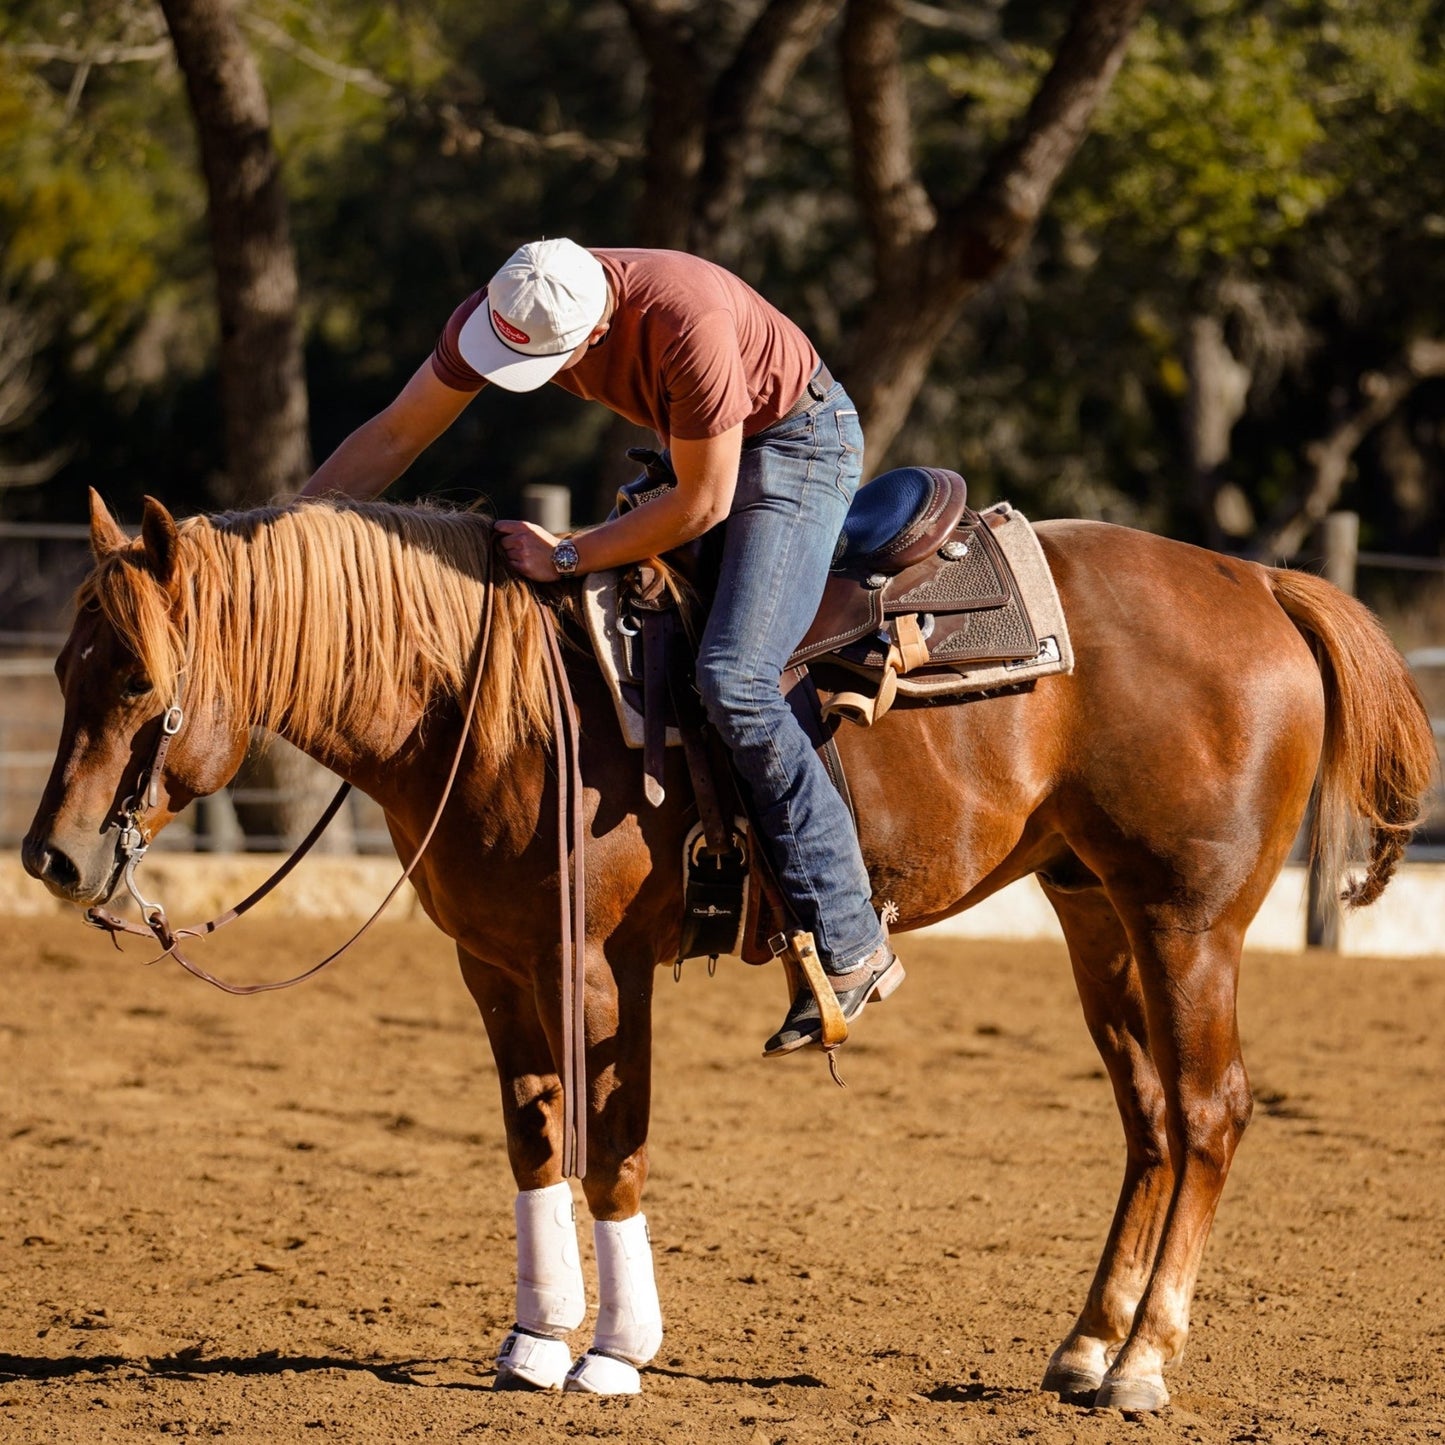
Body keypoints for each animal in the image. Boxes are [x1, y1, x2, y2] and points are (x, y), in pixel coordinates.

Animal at [19, 497, 1433, 1410]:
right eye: (69, 661)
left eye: (139, 678)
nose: (52, 857)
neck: (500, 695)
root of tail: (1255, 581)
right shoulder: (494, 965)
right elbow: (535, 1140)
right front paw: (534, 1339)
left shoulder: (601, 964)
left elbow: (614, 1145)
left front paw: (613, 1351)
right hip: (1096, 911)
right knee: (1146, 1117)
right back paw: (1085, 1346)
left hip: (1189, 921)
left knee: (1208, 1110)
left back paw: (1143, 1361)